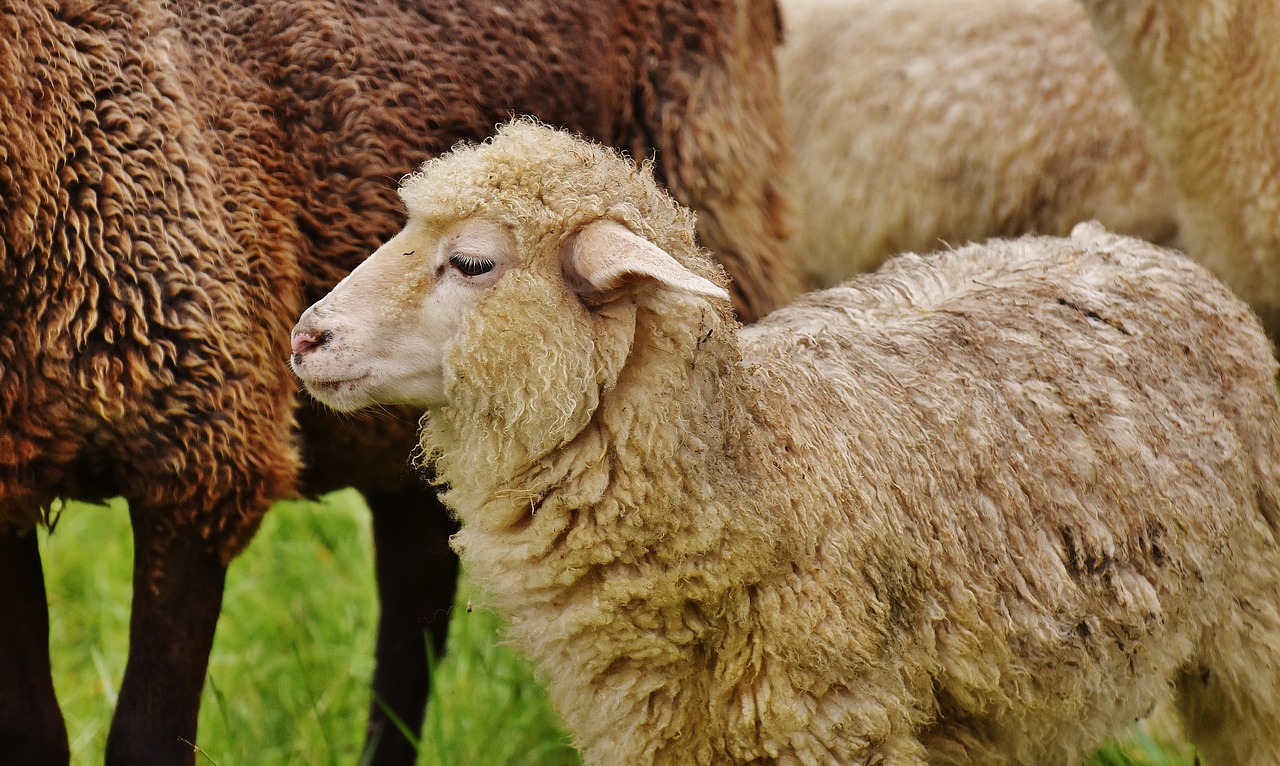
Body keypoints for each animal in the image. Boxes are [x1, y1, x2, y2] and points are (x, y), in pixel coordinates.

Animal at [0, 3, 793, 763]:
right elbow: (32, 731)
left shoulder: (202, 452)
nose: (304, 338)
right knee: (416, 582)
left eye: (471, 262)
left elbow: (148, 737)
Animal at [290, 120, 1280, 766]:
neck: (763, 472)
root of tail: (1133, 249)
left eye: (473, 263)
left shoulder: (838, 726)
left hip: (1254, 633)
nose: (306, 337)